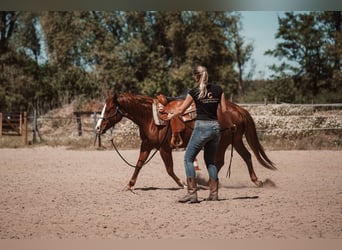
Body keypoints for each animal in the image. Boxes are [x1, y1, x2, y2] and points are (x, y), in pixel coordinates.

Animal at [95, 93, 276, 190]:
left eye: (109, 109)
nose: (98, 127)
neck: (150, 118)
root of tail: (239, 109)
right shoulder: (146, 145)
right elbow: (139, 164)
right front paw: (129, 185)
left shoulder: (164, 148)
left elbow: (169, 169)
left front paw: (182, 183)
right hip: (235, 140)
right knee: (246, 156)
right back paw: (256, 181)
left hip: (223, 142)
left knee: (221, 161)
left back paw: (204, 182)